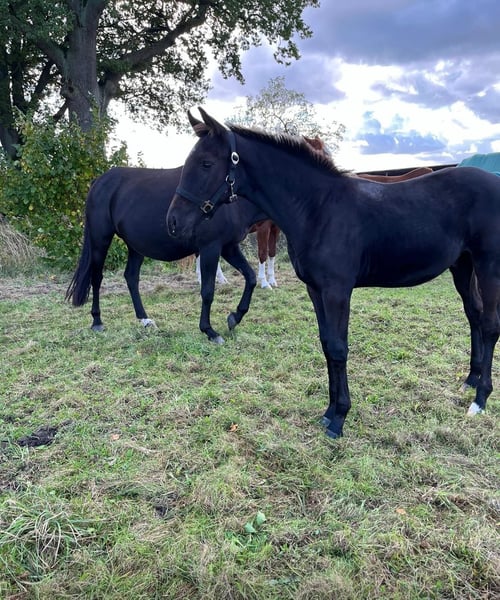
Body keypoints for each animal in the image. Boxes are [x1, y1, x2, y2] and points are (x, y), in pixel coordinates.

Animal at [66, 166, 267, 344]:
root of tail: (99, 181)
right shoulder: (211, 247)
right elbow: (208, 291)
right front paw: (210, 331)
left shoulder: (229, 247)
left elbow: (251, 277)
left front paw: (234, 317)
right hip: (100, 240)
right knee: (97, 278)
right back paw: (97, 321)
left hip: (136, 246)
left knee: (131, 277)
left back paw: (145, 320)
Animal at [167, 108, 500, 439]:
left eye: (206, 163)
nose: (173, 222)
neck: (319, 208)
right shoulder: (316, 289)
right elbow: (327, 343)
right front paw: (328, 413)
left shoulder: (337, 291)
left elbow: (339, 348)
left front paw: (340, 418)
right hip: (462, 265)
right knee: (473, 314)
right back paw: (470, 378)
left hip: (488, 266)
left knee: (489, 325)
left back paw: (480, 399)